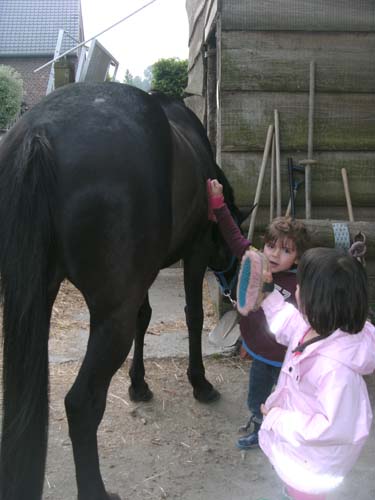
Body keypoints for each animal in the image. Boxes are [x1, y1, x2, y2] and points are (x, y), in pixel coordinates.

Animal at [0, 83, 241, 500]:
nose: (232, 272)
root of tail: (39, 131)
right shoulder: (193, 253)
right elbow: (192, 316)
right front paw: (200, 383)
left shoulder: (142, 278)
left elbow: (145, 319)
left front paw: (138, 384)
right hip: (112, 317)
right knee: (81, 404)